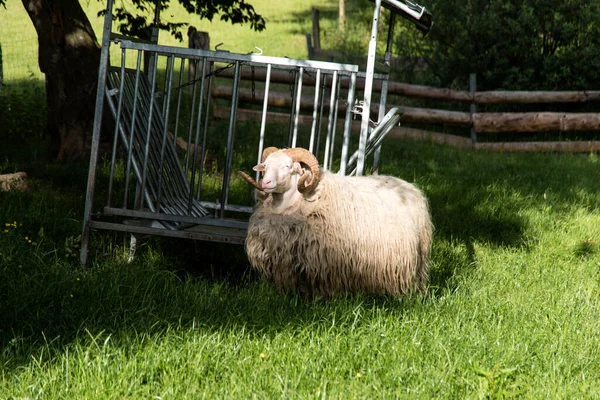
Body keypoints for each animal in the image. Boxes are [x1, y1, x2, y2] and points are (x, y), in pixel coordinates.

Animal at [239, 146, 432, 296]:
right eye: (265, 166)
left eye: (287, 166)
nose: (265, 183)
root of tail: (409, 186)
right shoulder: (283, 257)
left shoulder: (324, 260)